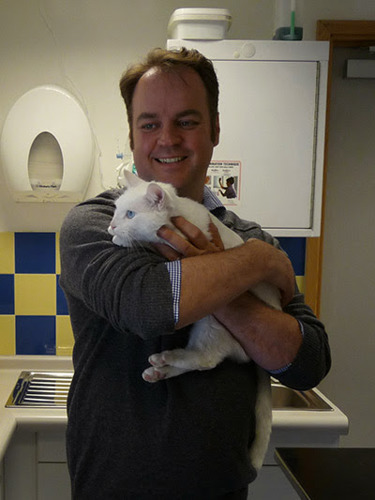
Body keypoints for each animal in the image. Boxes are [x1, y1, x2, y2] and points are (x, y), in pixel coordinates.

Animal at [107, 170, 280, 470]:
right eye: (116, 210)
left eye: (130, 214)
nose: (111, 226)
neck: (180, 215)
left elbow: (154, 241)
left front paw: (124, 239)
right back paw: (159, 369)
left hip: (212, 323)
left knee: (206, 358)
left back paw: (166, 358)